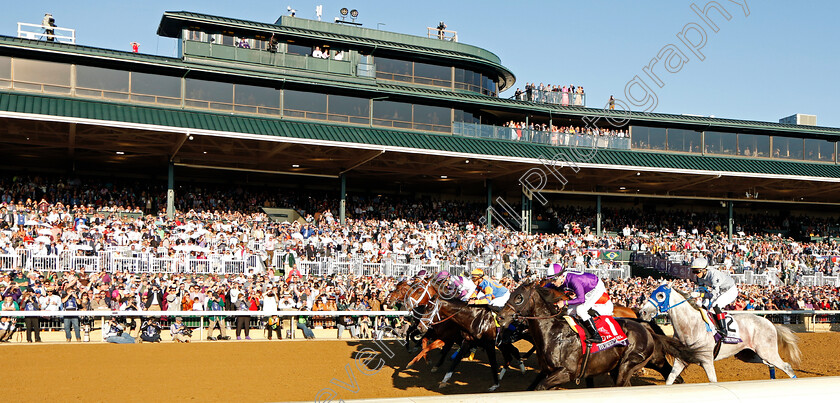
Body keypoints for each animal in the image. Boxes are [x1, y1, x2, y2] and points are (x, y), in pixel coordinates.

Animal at [496, 280, 700, 392]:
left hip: (629, 365)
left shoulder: (566, 372)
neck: (553, 332)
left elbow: (540, 386)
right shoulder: (550, 371)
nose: (500, 317)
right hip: (633, 364)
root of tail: (647, 329)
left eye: (519, 297)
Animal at [640, 282, 796, 384]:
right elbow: (670, 380)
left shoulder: (707, 361)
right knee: (772, 366)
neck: (690, 327)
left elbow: (713, 381)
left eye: (660, 295)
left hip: (767, 352)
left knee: (787, 367)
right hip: (751, 355)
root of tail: (770, 324)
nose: (643, 312)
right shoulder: (680, 360)